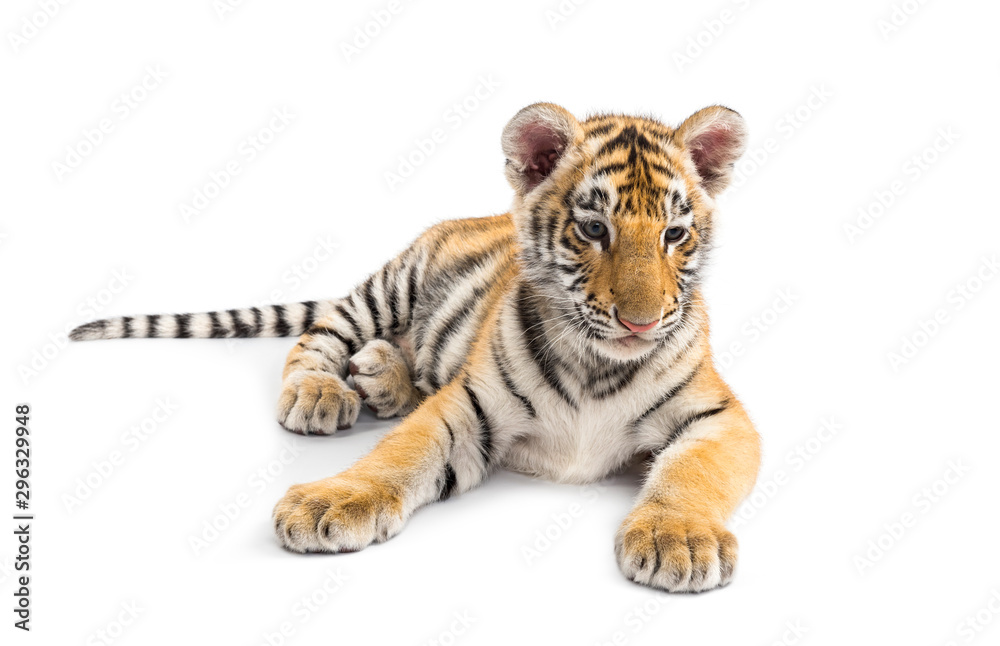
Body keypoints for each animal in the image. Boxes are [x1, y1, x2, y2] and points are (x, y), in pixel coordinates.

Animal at [70, 102, 761, 593]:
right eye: (593, 229)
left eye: (674, 235)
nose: (641, 323)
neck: (597, 364)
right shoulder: (470, 405)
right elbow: (399, 454)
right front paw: (329, 501)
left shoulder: (721, 417)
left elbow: (693, 471)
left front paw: (679, 538)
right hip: (390, 285)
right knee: (316, 338)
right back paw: (323, 394)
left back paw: (381, 376)